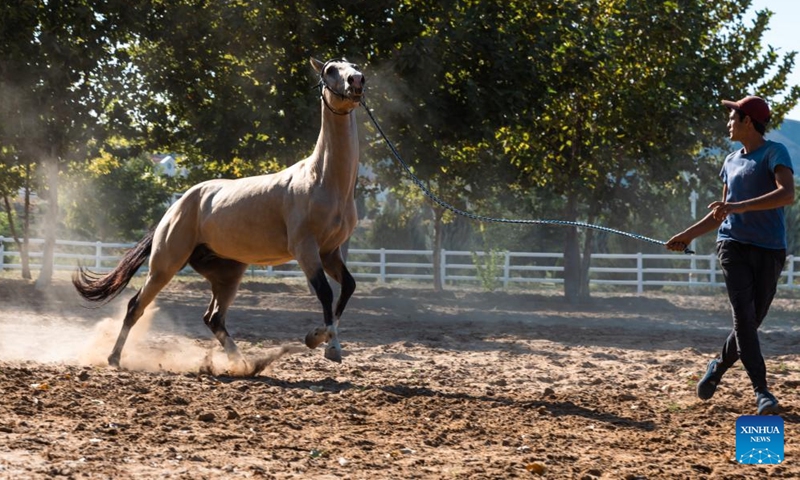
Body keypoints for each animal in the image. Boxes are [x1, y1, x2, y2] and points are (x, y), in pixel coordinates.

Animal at [72, 57, 366, 372]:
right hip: (165, 265)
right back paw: (114, 358)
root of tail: (175, 207)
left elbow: (347, 287)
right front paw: (325, 344)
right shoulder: (306, 249)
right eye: (330, 70)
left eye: (353, 64)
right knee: (136, 306)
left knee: (213, 318)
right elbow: (325, 293)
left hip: (228, 274)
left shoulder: (329, 252)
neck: (322, 179)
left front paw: (322, 340)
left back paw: (243, 365)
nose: (356, 81)